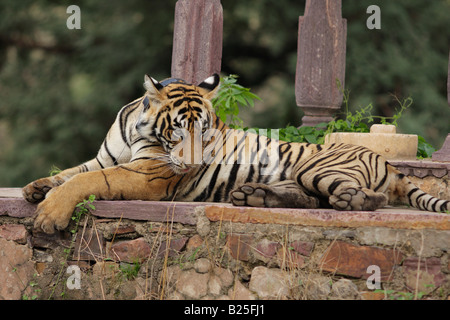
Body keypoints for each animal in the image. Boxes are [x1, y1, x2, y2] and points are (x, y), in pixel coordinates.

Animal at [22, 73, 450, 232]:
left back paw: (350, 201)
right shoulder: (106, 157)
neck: (135, 129)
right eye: (178, 129)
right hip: (299, 178)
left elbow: (87, 180)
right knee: (310, 199)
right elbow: (72, 171)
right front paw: (35, 188)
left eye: (205, 130)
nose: (194, 162)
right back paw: (254, 196)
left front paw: (49, 215)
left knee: (365, 198)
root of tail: (388, 162)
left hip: (318, 167)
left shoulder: (147, 173)